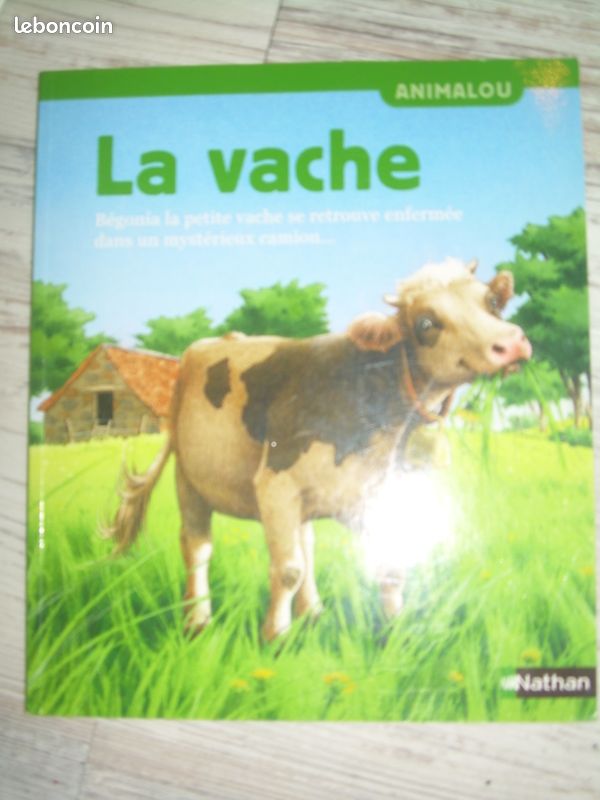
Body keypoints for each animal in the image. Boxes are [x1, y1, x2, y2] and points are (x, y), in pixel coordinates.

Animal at [106, 258, 531, 641]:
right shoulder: (275, 485)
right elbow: (287, 570)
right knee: (198, 548)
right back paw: (197, 621)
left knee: (306, 545)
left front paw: (395, 635)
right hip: (189, 479)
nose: (510, 344)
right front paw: (275, 638)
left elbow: (391, 563)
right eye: (425, 323)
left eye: (492, 302)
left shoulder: (379, 495)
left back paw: (312, 613)